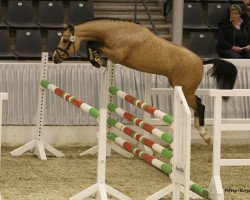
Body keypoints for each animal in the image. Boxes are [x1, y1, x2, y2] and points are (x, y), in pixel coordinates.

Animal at [52, 18, 236, 145]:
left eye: (66, 40)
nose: (54, 58)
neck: (117, 32)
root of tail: (200, 61)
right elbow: (92, 43)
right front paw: (97, 60)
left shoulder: (116, 55)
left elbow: (95, 44)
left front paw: (98, 60)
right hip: (181, 88)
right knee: (198, 103)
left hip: (185, 90)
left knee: (200, 106)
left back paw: (205, 135)